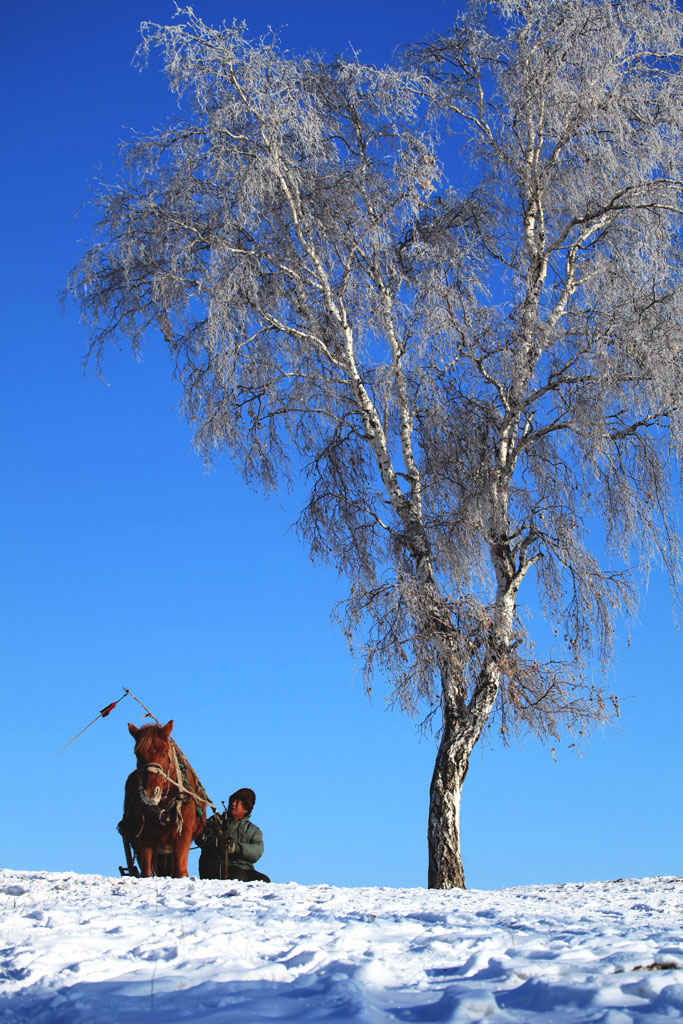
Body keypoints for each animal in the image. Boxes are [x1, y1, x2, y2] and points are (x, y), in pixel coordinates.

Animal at [120, 720, 205, 880]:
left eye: (164, 753)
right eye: (138, 755)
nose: (150, 793)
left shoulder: (183, 836)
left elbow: (179, 871)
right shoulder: (144, 839)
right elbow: (146, 872)